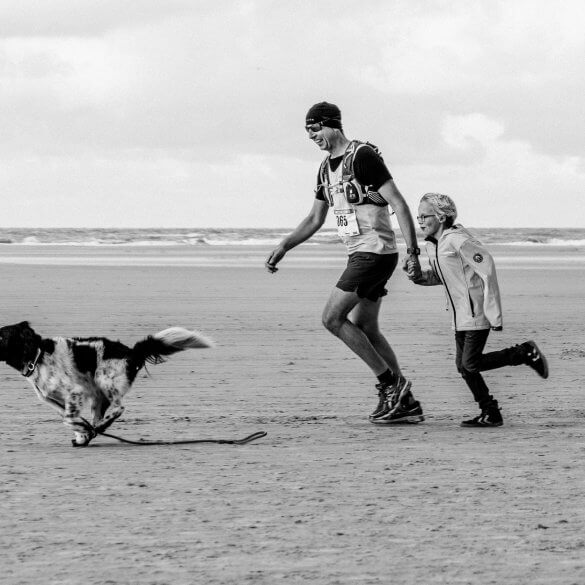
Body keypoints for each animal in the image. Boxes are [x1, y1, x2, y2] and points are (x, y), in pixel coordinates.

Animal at [0, 322, 214, 444]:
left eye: (1, 336)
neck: (37, 356)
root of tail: (131, 351)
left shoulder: (75, 392)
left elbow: (68, 420)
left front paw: (83, 432)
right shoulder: (55, 400)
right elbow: (72, 419)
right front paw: (82, 435)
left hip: (105, 382)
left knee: (119, 408)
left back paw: (100, 427)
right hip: (98, 395)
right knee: (100, 417)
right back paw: (95, 430)